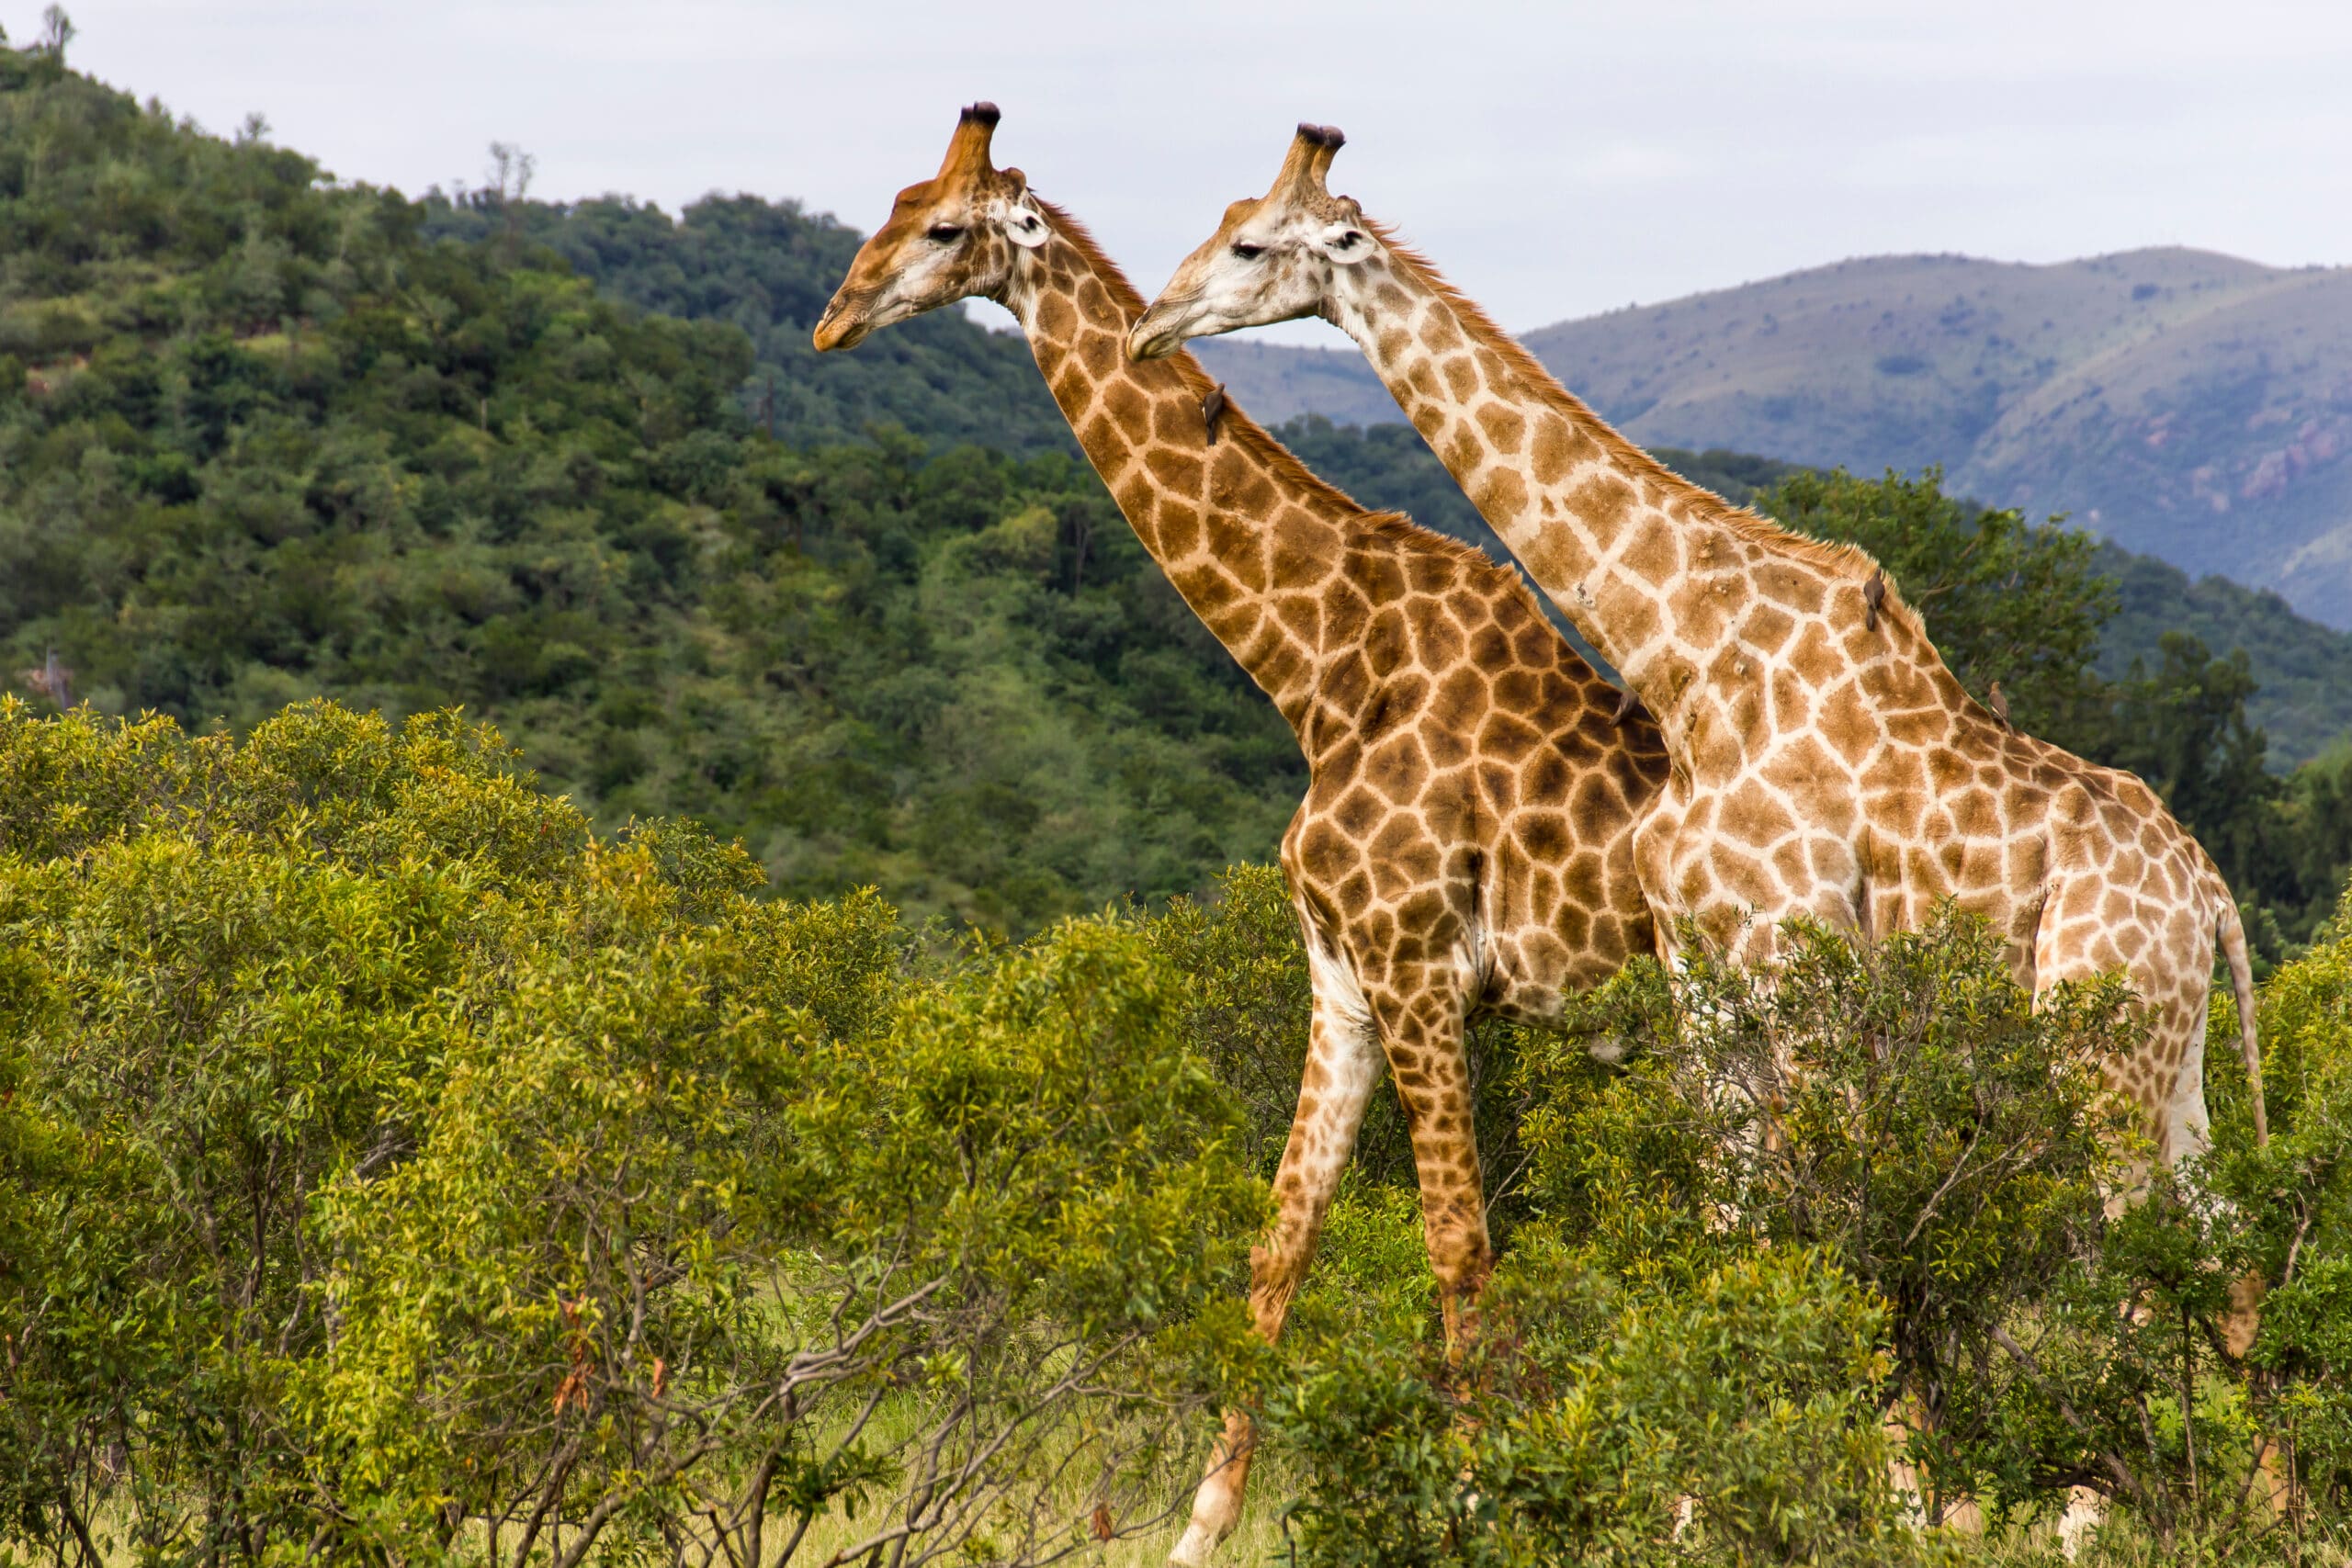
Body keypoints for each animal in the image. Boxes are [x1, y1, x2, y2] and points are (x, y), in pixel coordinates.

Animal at [815, 105, 1670, 1564]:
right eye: (889, 202)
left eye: (943, 227)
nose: (831, 320)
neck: (1320, 669)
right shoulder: (1342, 981)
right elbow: (1281, 1242)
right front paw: (1199, 1524)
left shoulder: (1419, 967)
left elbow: (1456, 1247)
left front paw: (1477, 1503)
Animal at [1130, 123, 2265, 1178]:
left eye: (1247, 243)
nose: (1149, 326)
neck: (1690, 666)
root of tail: (2211, 896)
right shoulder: (1699, 978)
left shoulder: (1795, 958)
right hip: (2173, 1065)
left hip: (2099, 1043)